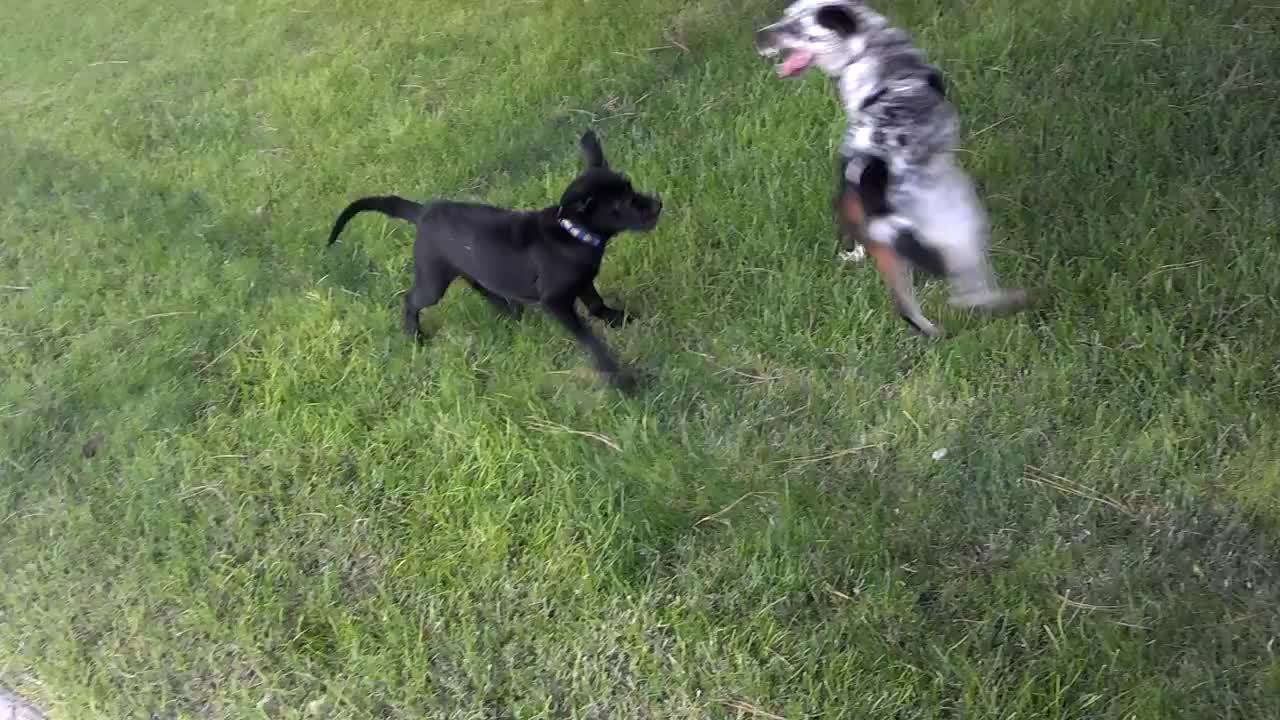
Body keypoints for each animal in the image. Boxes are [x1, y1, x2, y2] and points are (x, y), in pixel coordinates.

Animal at [325, 128, 665, 386]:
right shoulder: (555, 302)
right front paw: (618, 377)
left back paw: (508, 310)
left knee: (479, 283)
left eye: (631, 187)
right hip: (432, 281)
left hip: (468, 266)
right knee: (410, 300)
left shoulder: (583, 281)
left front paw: (616, 318)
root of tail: (422, 212)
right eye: (621, 204)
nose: (657, 204)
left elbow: (595, 304)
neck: (572, 233)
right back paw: (415, 335)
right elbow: (589, 339)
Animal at [752, 0, 1024, 335]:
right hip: (957, 218)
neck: (871, 47)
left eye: (794, 25)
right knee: (967, 285)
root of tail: (871, 163)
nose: (758, 37)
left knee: (904, 302)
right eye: (786, 19)